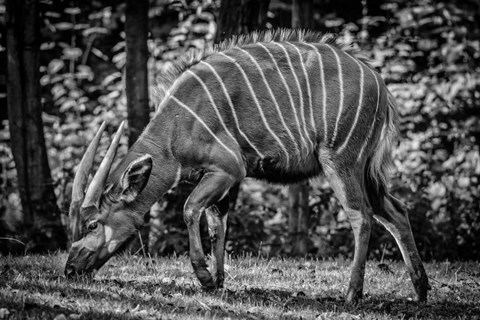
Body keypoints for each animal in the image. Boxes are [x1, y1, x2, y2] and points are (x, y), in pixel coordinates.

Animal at [64, 28, 432, 304]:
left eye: (93, 224)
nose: (69, 270)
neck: (176, 126)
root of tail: (380, 84)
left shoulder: (228, 169)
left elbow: (190, 208)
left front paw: (204, 276)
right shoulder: (225, 178)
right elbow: (217, 221)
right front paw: (218, 281)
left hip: (341, 160)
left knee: (361, 215)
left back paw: (352, 294)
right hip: (365, 168)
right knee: (396, 210)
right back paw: (421, 290)